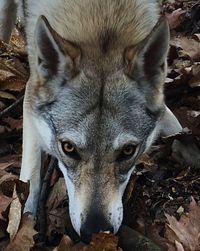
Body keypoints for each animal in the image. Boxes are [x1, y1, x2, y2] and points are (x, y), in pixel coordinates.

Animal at [0, 0, 182, 243]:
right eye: (68, 148)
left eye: (128, 151)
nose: (95, 231)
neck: (103, 18)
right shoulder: (31, 95)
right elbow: (30, 173)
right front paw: (25, 219)